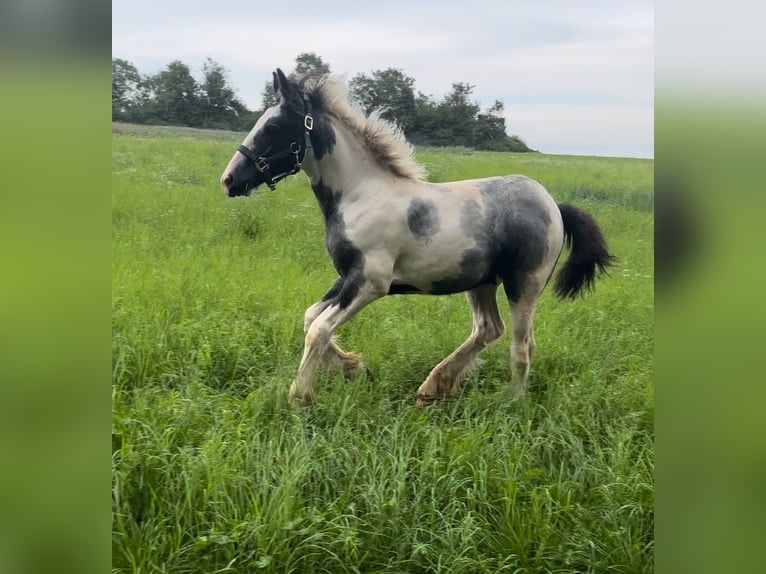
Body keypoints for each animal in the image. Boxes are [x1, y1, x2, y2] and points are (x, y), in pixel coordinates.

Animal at [219, 70, 616, 408]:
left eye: (272, 126)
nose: (229, 180)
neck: (360, 194)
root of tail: (554, 206)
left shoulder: (370, 282)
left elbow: (317, 329)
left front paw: (300, 396)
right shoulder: (346, 276)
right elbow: (310, 318)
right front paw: (352, 367)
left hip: (524, 285)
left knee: (522, 345)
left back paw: (510, 402)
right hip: (481, 282)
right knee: (488, 329)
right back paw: (433, 387)